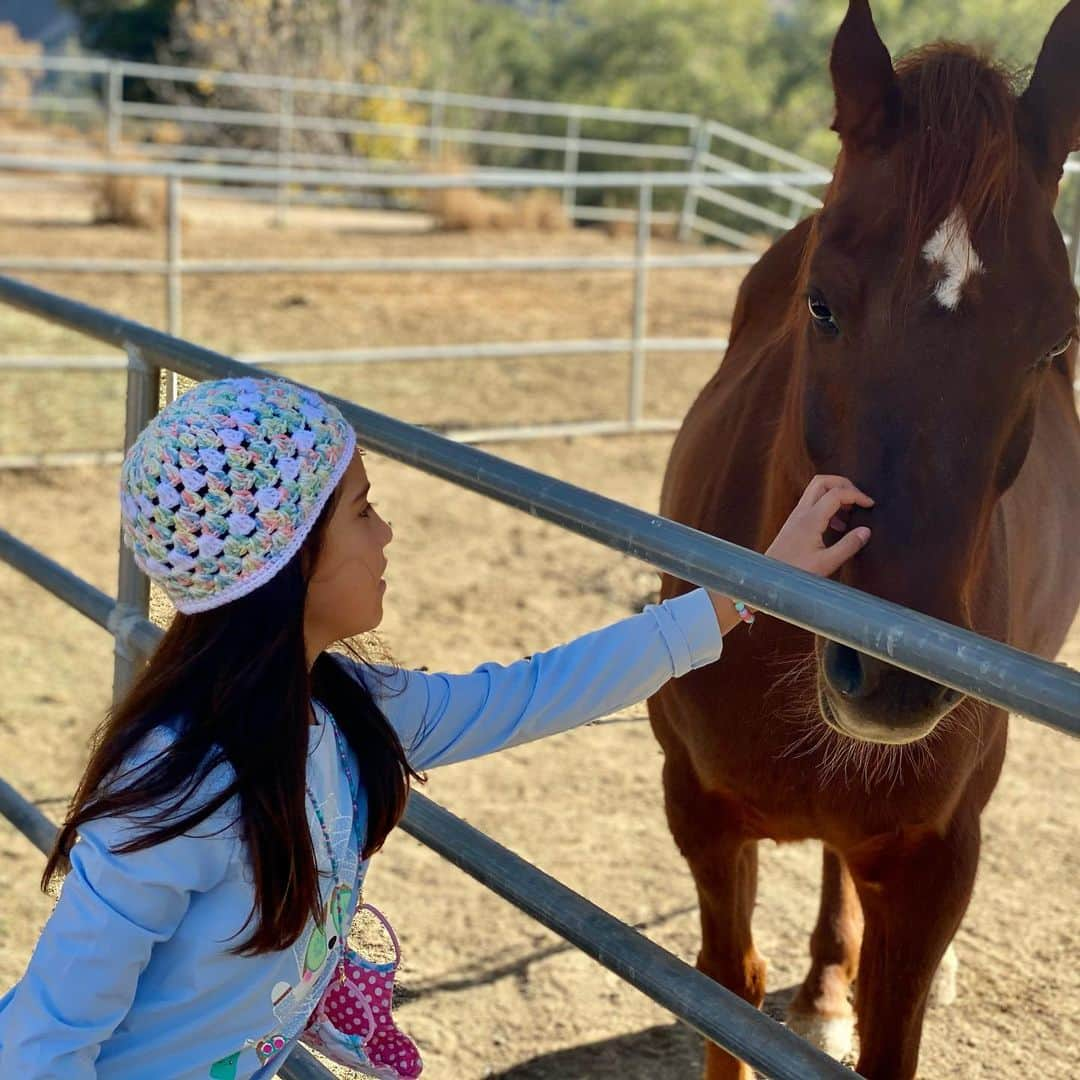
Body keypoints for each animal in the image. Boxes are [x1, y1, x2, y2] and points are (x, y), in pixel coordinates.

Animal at [648, 4, 1080, 1075]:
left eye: (1055, 341)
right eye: (822, 303)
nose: (891, 682)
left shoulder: (932, 863)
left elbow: (896, 1027)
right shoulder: (700, 814)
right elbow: (727, 991)